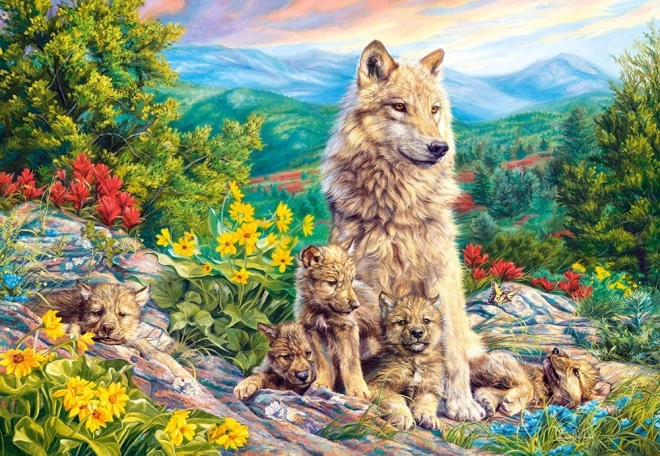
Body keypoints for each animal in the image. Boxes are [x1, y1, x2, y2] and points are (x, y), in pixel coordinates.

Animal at [32, 281, 194, 380]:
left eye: (122, 314)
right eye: (97, 312)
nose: (108, 328)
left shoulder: (134, 339)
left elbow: (157, 352)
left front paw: (185, 375)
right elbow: (75, 327)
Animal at [295, 245, 382, 399]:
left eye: (351, 280)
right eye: (332, 282)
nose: (355, 305)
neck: (322, 311)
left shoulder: (347, 328)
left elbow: (350, 363)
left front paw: (358, 390)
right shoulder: (314, 332)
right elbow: (322, 361)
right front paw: (322, 384)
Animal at [367, 293, 445, 430]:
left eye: (426, 320)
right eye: (402, 322)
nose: (417, 332)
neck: (414, 360)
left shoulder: (429, 387)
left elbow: (427, 402)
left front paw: (427, 417)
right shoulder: (377, 384)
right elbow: (396, 399)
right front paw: (403, 417)